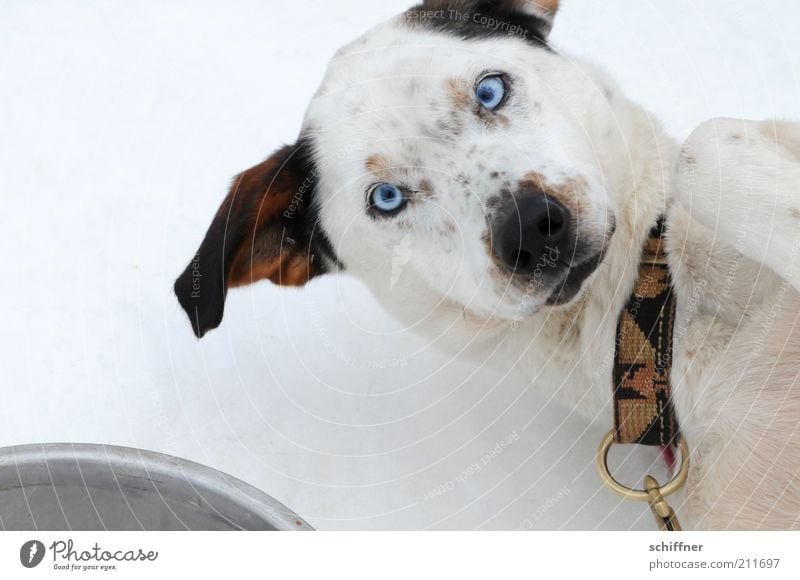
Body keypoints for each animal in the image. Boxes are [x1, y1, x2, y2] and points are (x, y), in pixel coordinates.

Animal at [175, 0, 800, 528]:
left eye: (491, 90)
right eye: (386, 198)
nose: (530, 228)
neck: (655, 313)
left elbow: (704, 147)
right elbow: (703, 151)